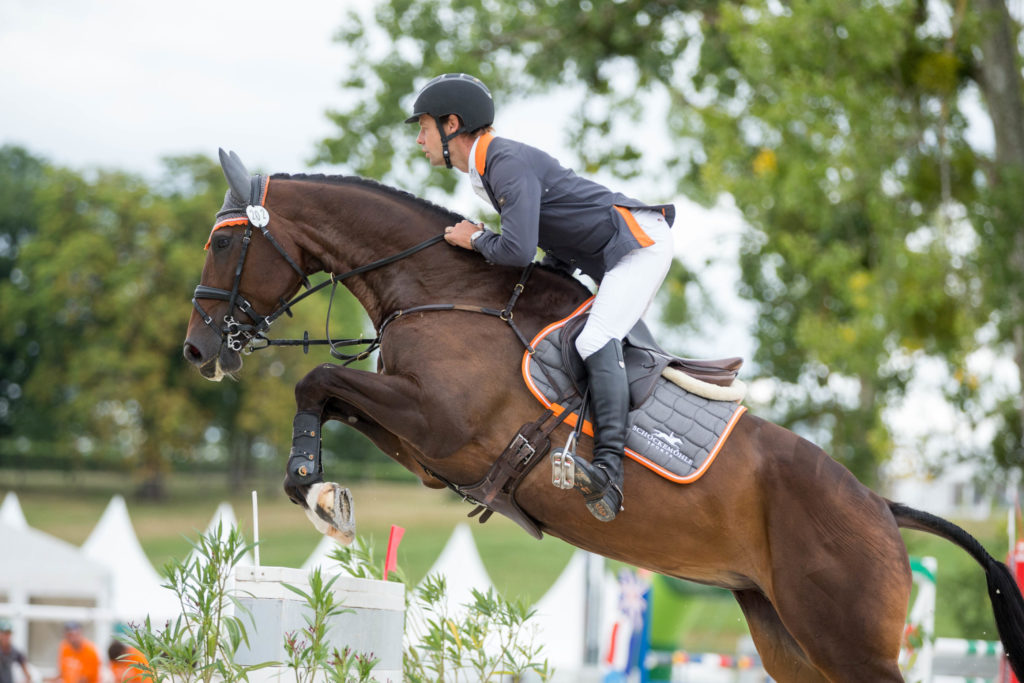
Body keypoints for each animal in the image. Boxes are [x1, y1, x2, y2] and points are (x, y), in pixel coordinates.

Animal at [184, 150, 1024, 683]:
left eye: (223, 244)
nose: (197, 349)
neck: (443, 290)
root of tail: (881, 506)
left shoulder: (439, 426)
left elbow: (317, 378)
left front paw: (317, 490)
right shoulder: (427, 450)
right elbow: (325, 392)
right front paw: (322, 492)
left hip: (848, 644)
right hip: (789, 638)